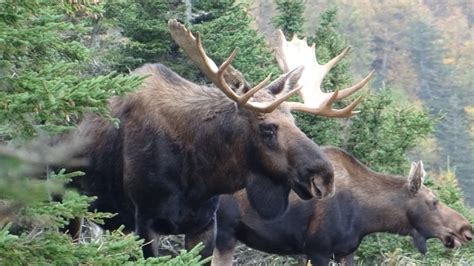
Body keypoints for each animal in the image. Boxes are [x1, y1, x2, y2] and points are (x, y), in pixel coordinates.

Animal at [66, 19, 372, 256]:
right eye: (267, 128)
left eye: (295, 122)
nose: (324, 177)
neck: (196, 177)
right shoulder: (146, 220)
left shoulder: (202, 225)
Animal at [213, 147, 472, 264]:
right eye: (433, 201)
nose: (466, 230)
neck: (366, 216)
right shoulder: (317, 249)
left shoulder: (346, 251)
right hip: (224, 232)